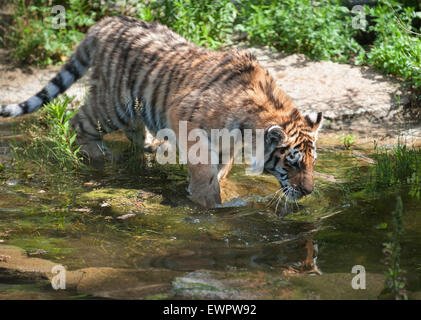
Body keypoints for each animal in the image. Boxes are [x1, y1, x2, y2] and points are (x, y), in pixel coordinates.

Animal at [0, 16, 322, 209]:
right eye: (292, 163)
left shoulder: (226, 143)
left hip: (135, 106)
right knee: (79, 122)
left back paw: (150, 145)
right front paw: (208, 202)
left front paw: (219, 188)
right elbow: (203, 169)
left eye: (312, 163)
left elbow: (221, 167)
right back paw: (101, 155)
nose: (308, 192)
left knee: (132, 129)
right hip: (114, 103)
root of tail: (106, 21)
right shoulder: (186, 118)